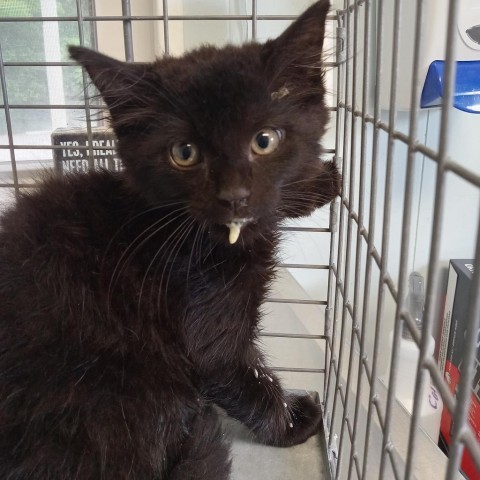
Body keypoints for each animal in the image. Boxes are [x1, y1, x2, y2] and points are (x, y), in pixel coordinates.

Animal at [0, 1, 340, 478]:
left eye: (265, 140)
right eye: (184, 153)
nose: (233, 196)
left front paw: (317, 182)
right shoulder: (202, 309)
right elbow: (233, 370)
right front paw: (293, 420)